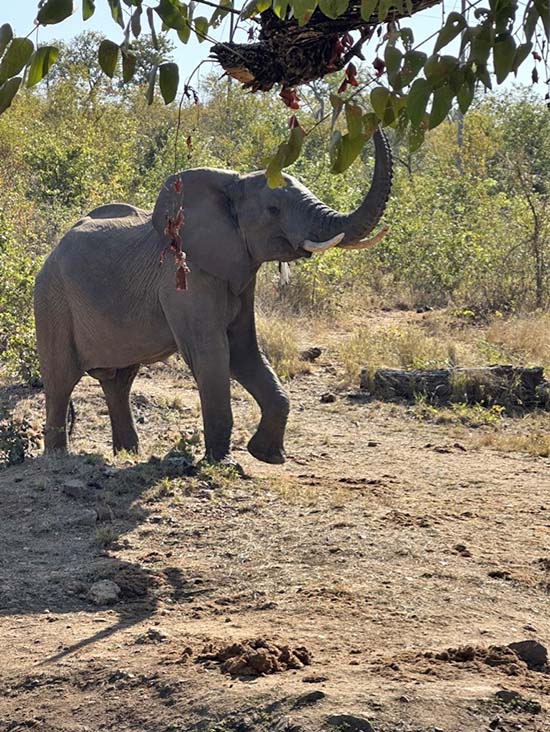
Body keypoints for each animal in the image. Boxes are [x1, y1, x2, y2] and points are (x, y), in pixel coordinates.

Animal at [33, 129, 392, 466]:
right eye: (273, 209)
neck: (232, 186)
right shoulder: (183, 276)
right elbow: (211, 352)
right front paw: (225, 463)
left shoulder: (239, 275)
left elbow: (244, 349)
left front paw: (267, 456)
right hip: (52, 299)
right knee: (60, 380)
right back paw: (58, 458)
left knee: (119, 381)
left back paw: (128, 455)